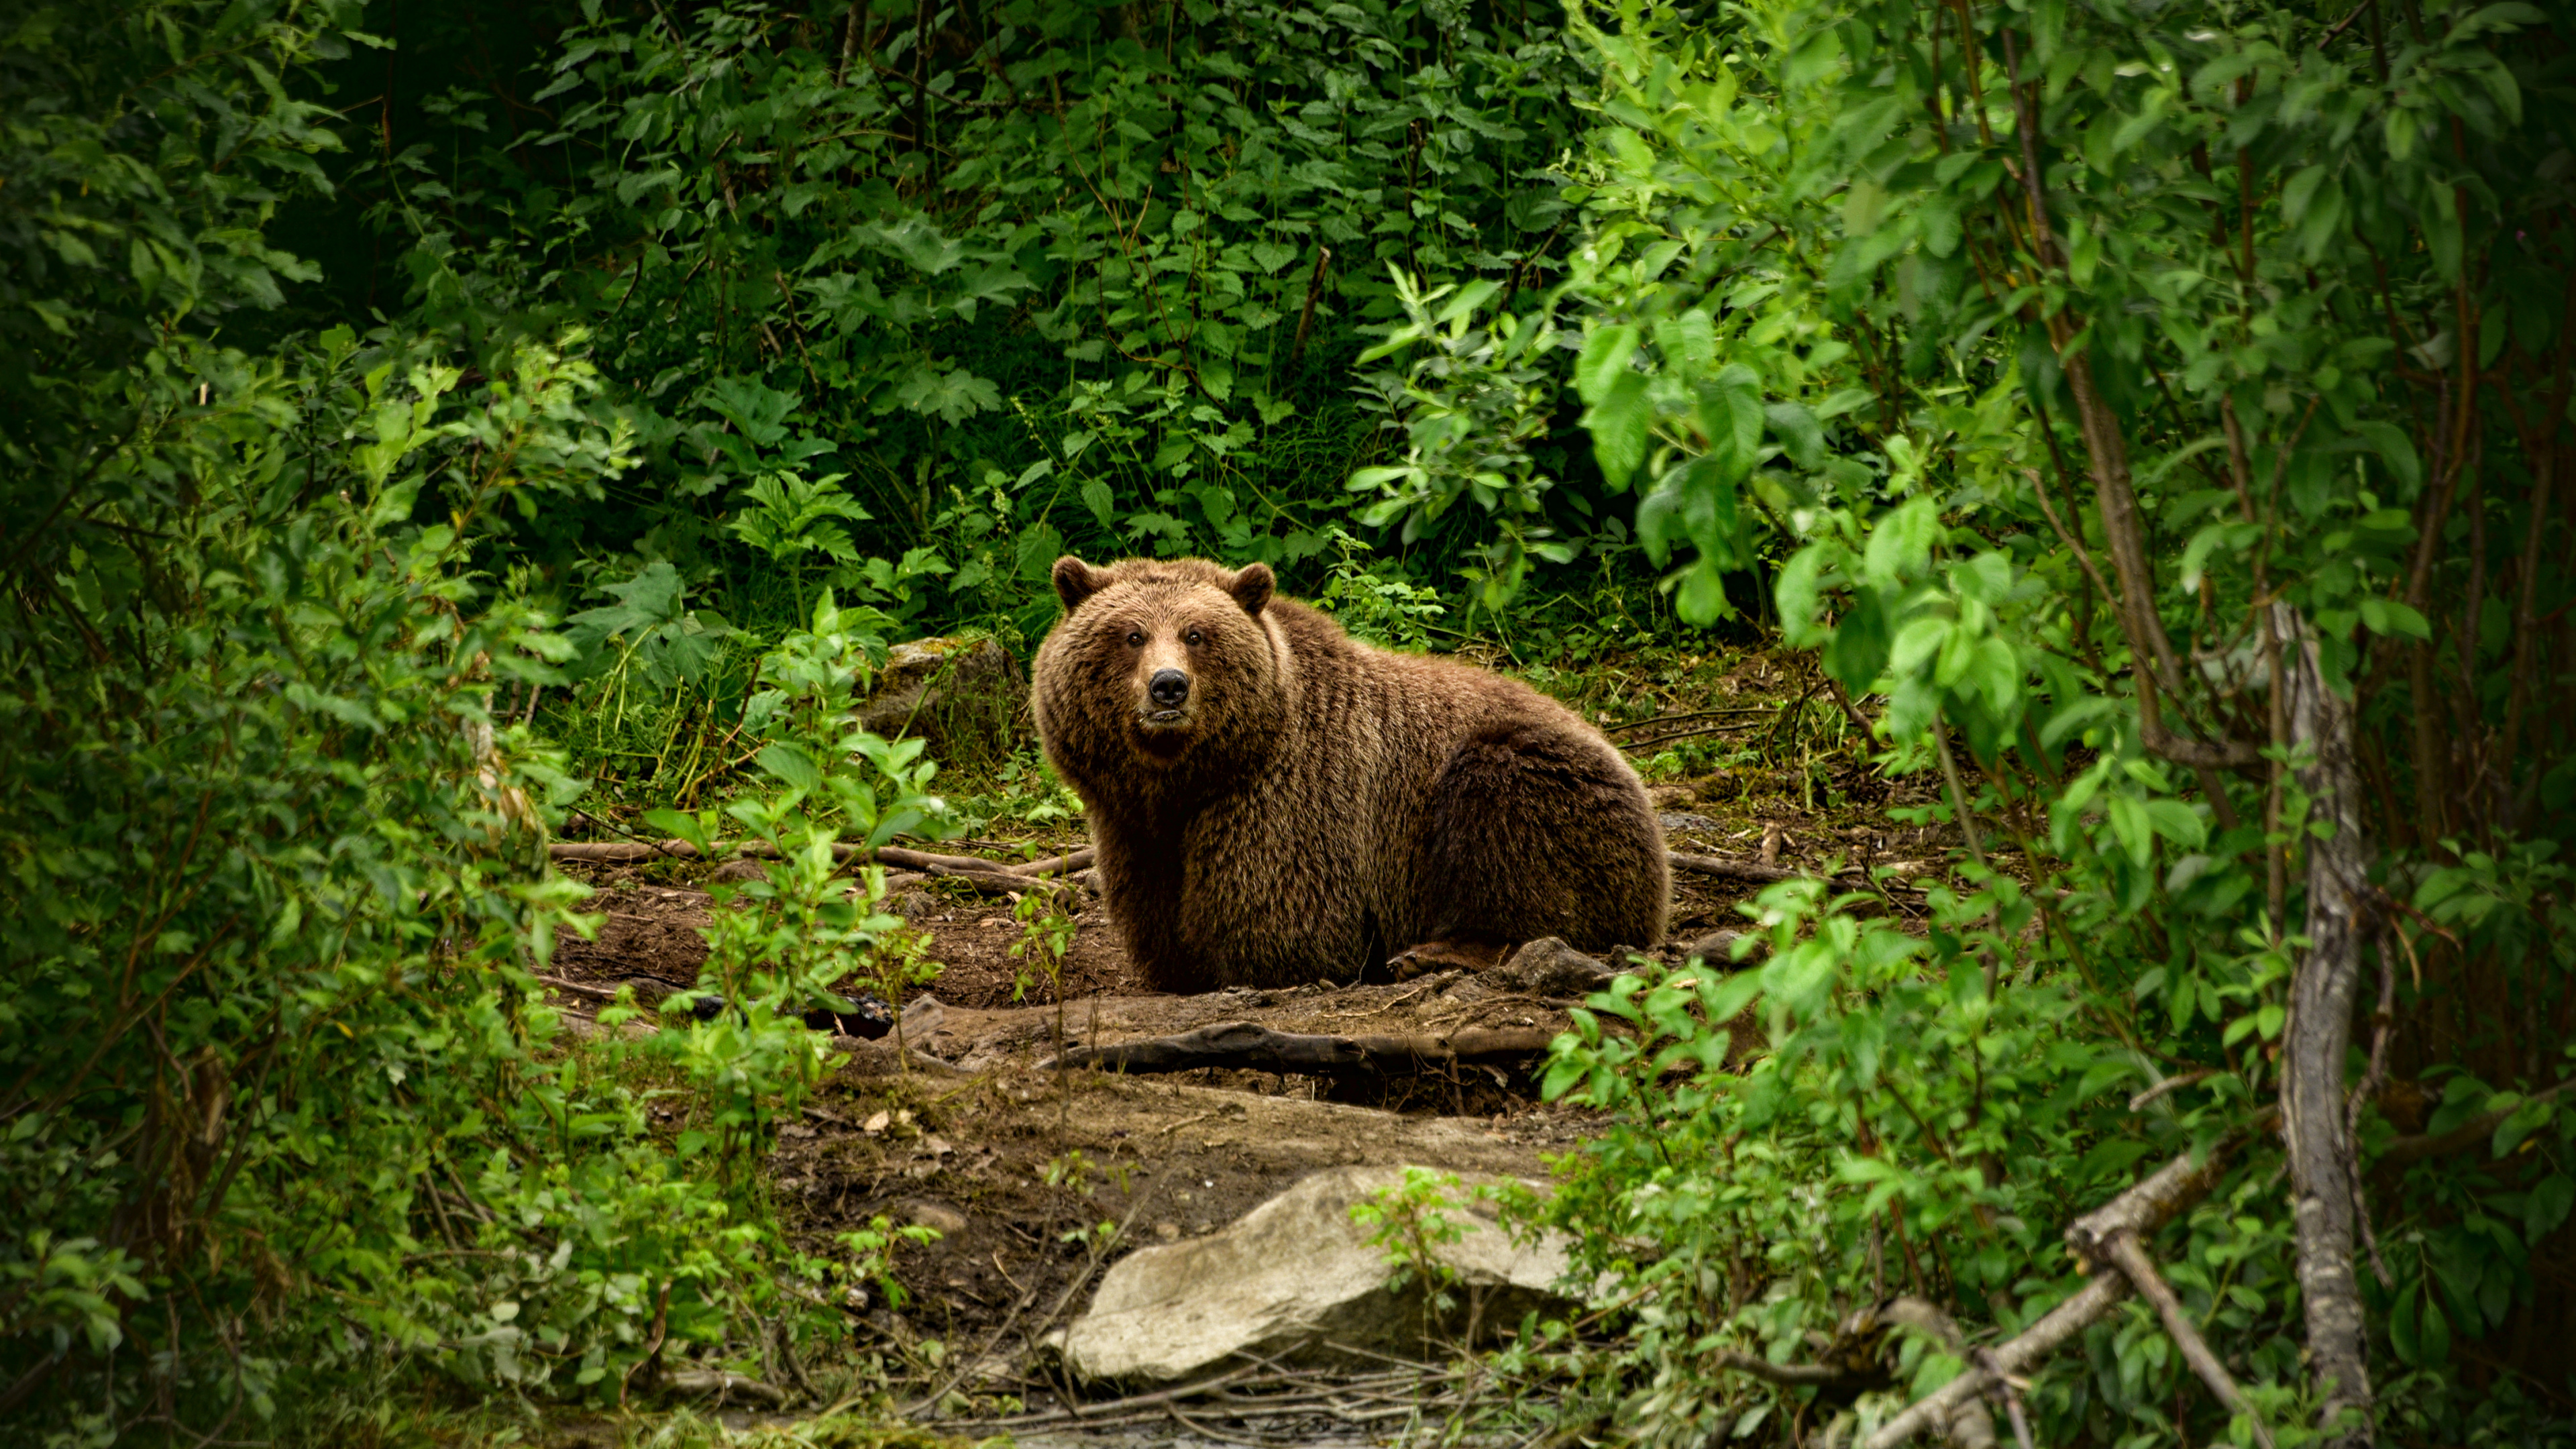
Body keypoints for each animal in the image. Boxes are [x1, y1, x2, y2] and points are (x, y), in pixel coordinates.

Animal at [1025, 551, 1669, 989]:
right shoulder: (1133, 824)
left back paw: (1434, 952)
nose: (1168, 687)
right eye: (1131, 634)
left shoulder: (1293, 797)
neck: (1191, 776)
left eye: (1196, 634)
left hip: (1546, 784)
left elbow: (1284, 918)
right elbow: (1155, 912)